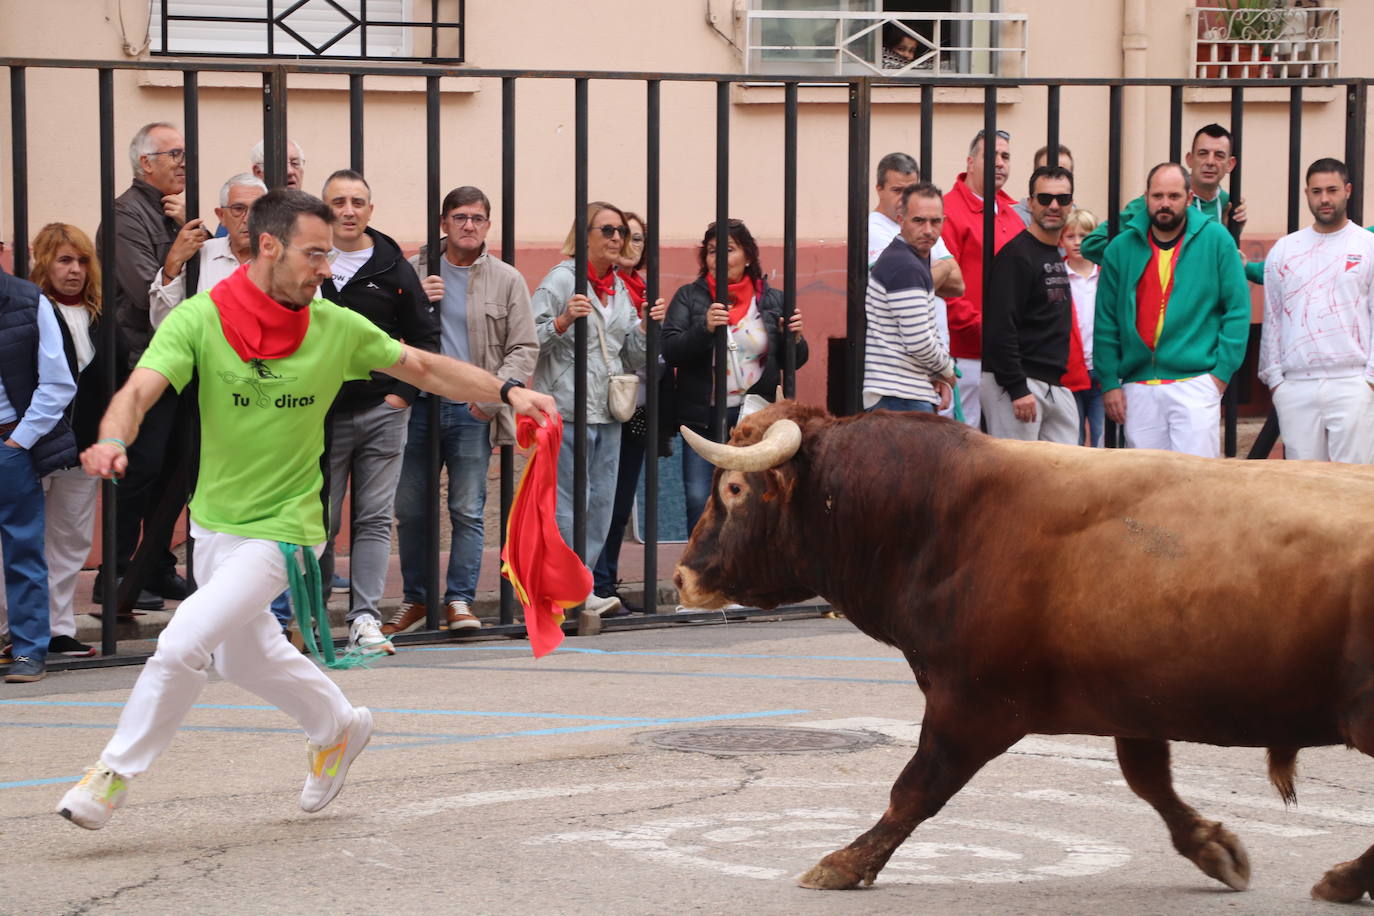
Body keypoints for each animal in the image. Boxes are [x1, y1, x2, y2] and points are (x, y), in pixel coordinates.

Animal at [676, 401, 1374, 900]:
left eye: (734, 489)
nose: (682, 576)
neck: (946, 518)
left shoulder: (971, 705)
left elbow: (915, 788)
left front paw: (845, 861)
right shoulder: (1131, 702)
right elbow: (1149, 781)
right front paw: (1212, 847)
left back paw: (1345, 878)